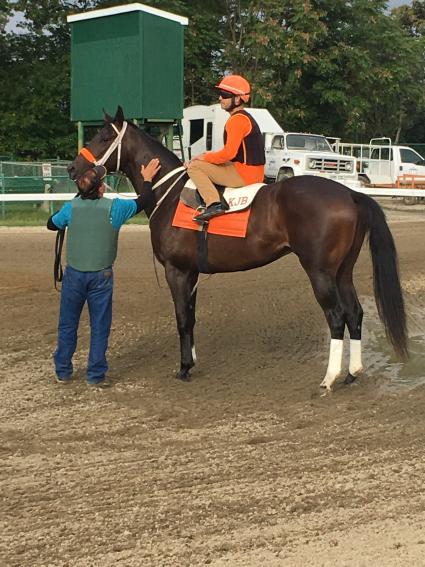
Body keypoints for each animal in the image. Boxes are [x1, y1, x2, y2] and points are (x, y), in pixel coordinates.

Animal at [68, 106, 406, 390]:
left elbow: (181, 319)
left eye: (105, 137)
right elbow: (191, 317)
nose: (73, 168)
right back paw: (352, 373)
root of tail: (350, 194)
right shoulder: (191, 273)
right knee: (355, 313)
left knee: (336, 317)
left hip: (320, 272)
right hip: (342, 272)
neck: (171, 192)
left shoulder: (176, 272)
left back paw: (329, 378)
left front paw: (183, 367)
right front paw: (191, 363)